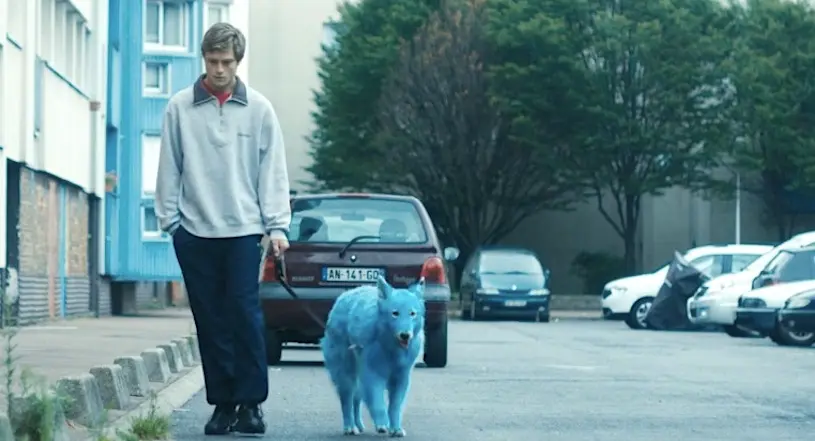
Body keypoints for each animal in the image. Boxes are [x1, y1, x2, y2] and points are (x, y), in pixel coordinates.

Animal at [320, 276, 428, 434]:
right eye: (395, 313)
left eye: (412, 314)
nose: (405, 335)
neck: (390, 347)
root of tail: (346, 294)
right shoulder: (372, 373)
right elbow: (377, 402)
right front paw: (382, 424)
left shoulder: (401, 376)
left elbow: (395, 406)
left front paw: (396, 428)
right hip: (346, 371)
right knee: (347, 399)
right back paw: (349, 426)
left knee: (356, 400)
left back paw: (358, 424)